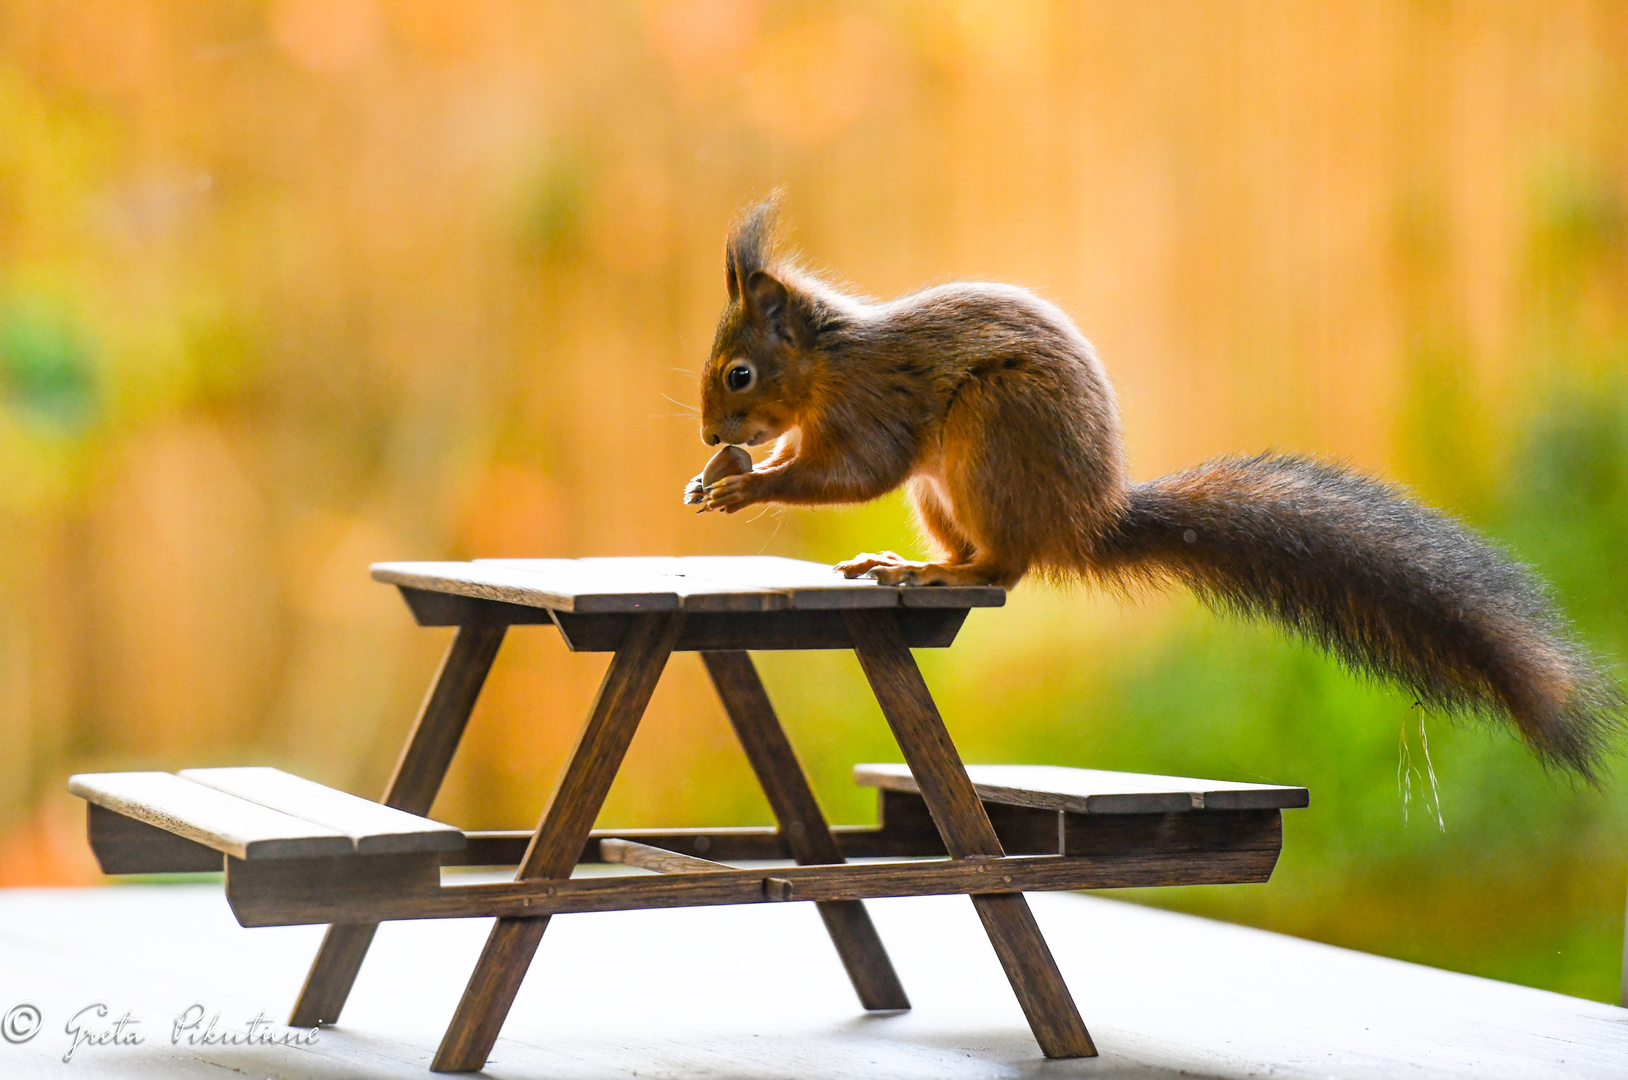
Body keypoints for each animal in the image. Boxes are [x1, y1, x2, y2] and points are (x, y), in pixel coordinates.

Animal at [683, 198, 1614, 778]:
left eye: (738, 373)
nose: (708, 436)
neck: (825, 363)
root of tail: (1085, 519)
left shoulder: (871, 408)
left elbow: (856, 471)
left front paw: (744, 489)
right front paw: (719, 477)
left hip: (994, 432)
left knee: (1004, 566)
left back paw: (940, 572)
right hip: (944, 492)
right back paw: (903, 562)